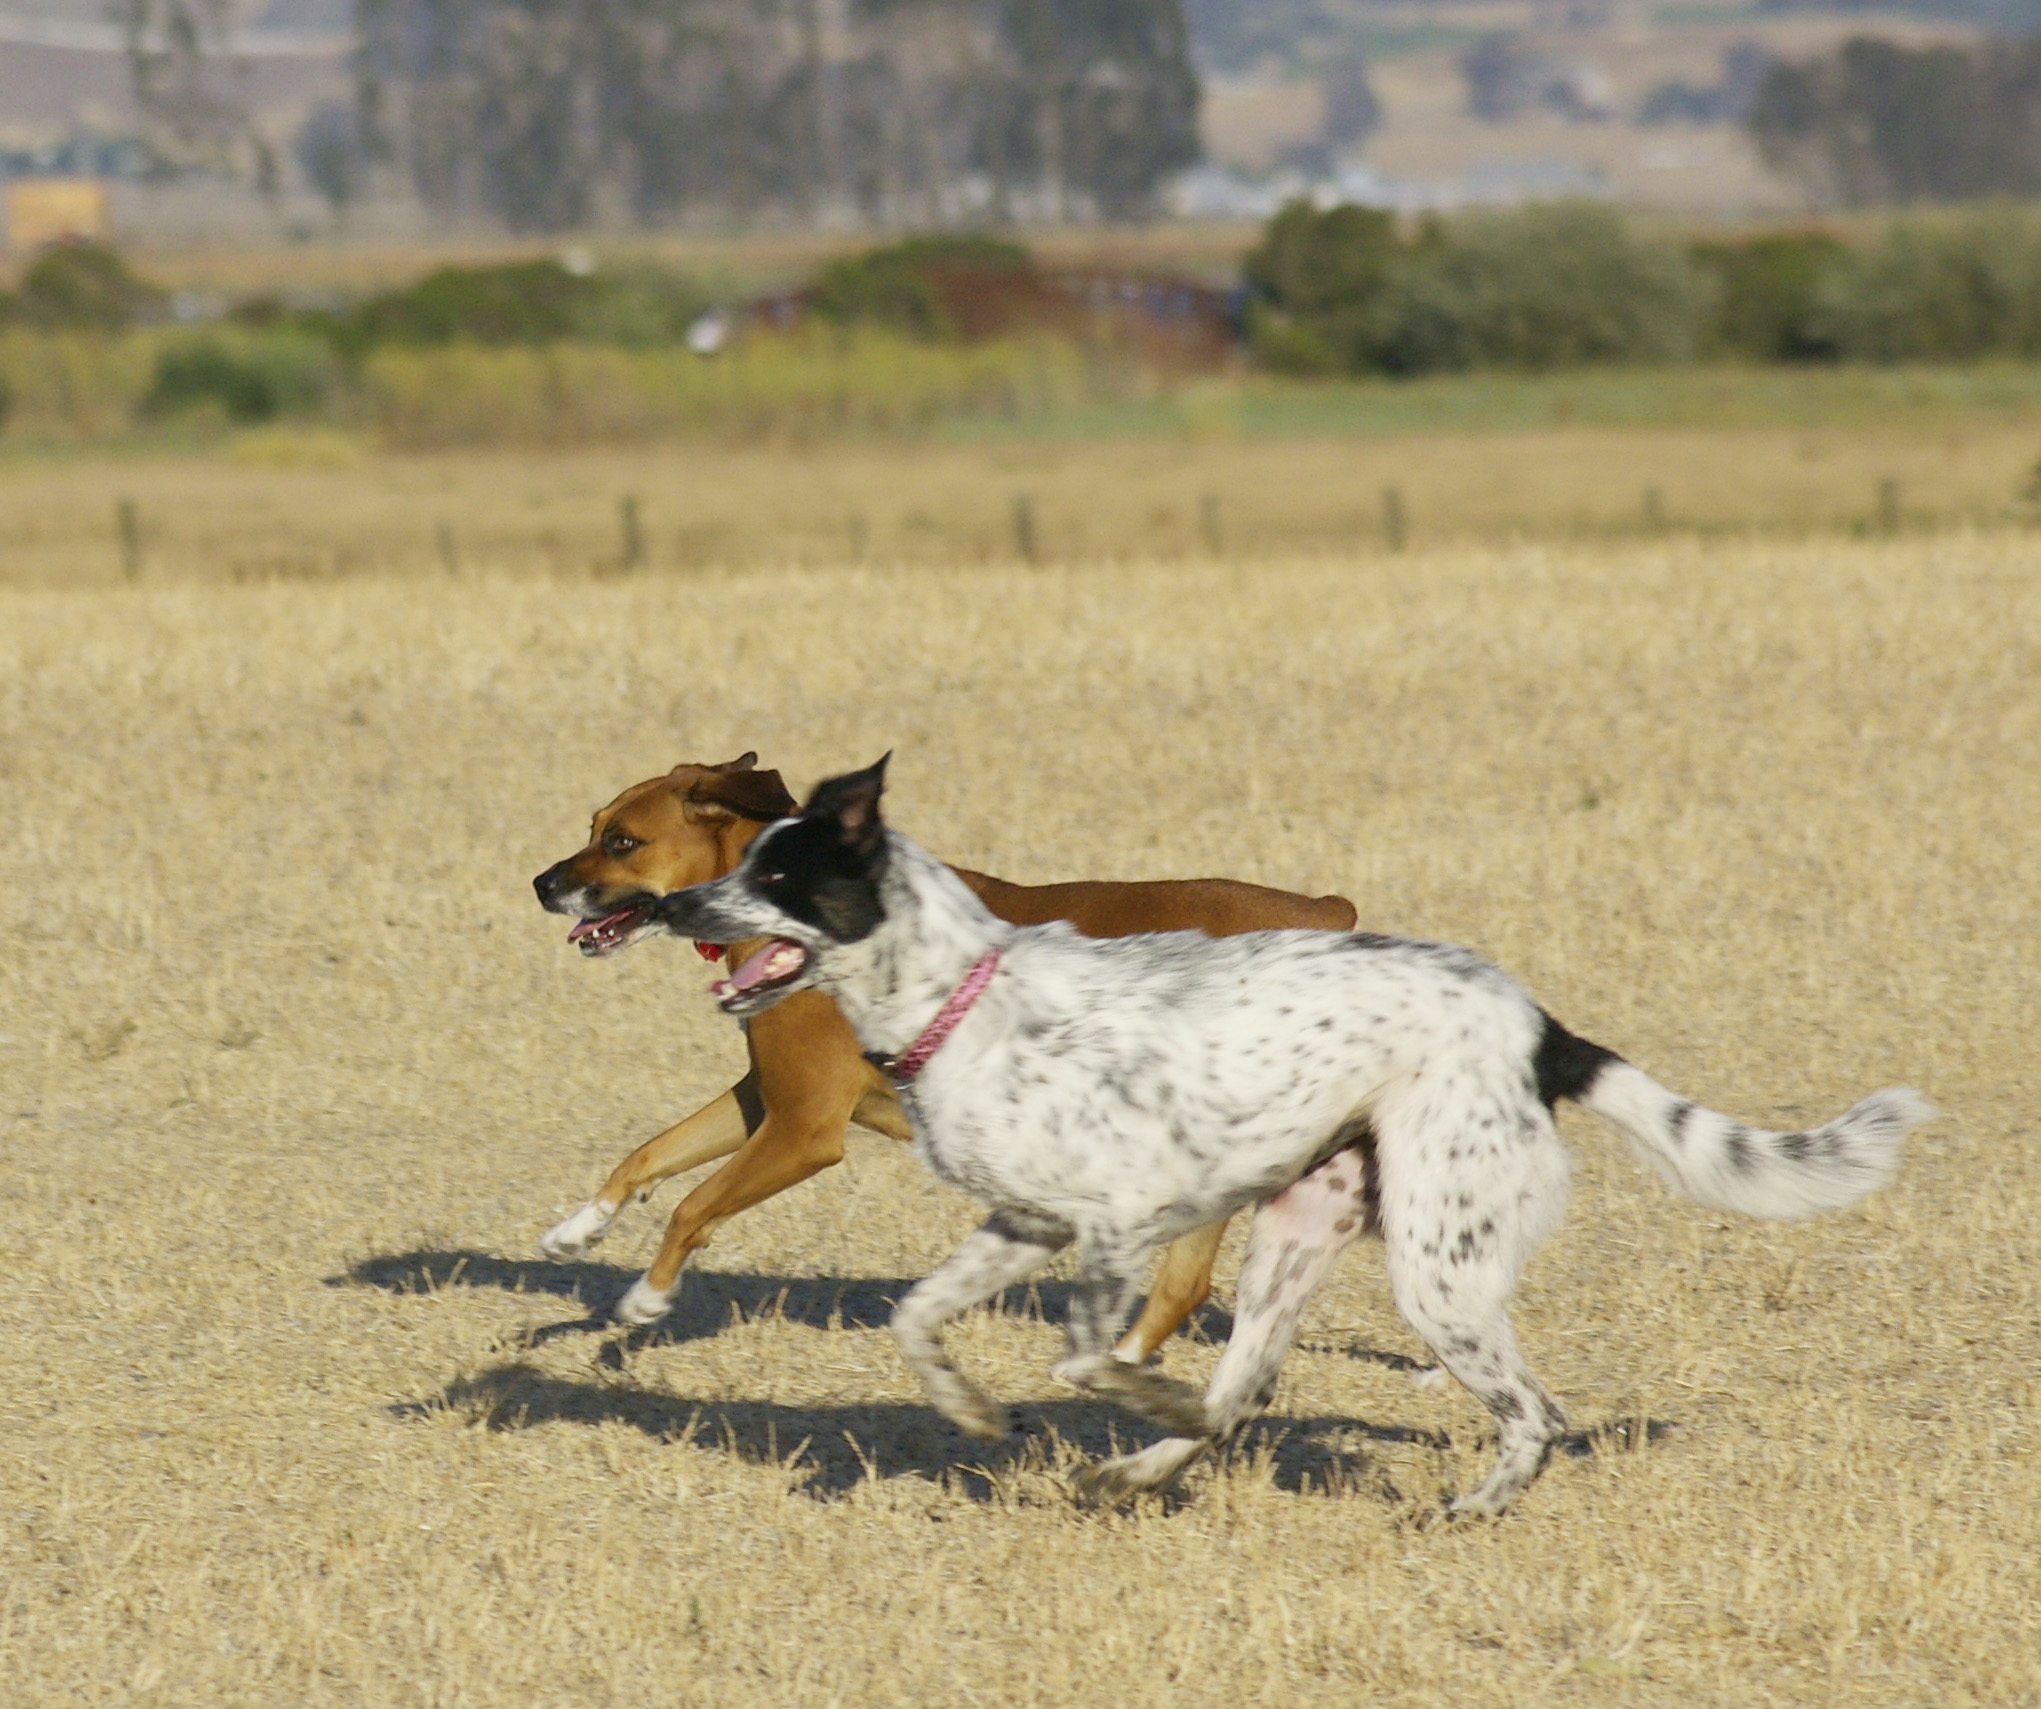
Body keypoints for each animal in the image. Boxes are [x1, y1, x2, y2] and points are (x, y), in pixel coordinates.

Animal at [534, 755, 1355, 1355]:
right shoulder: (763, 1097)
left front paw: (647, 1297)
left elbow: (692, 1204)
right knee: (1185, 1288)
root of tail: (1325, 911)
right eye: (593, 827)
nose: (542, 884)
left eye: (622, 842)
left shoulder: (802, 1129)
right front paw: (579, 1229)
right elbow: (647, 1155)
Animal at [649, 767, 1926, 1510]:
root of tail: (1539, 1029)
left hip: (1435, 1268)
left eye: (775, 871)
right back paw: (1129, 1470)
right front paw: (973, 1412)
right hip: (1298, 1233)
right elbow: (915, 1319)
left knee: (1529, 1413)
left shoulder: (1118, 1224)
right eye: (738, 859)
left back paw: (1464, 1506)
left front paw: (1127, 1397)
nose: (673, 909)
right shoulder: (1021, 1221)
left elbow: (1089, 1358)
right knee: (1249, 1384)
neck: (966, 993)